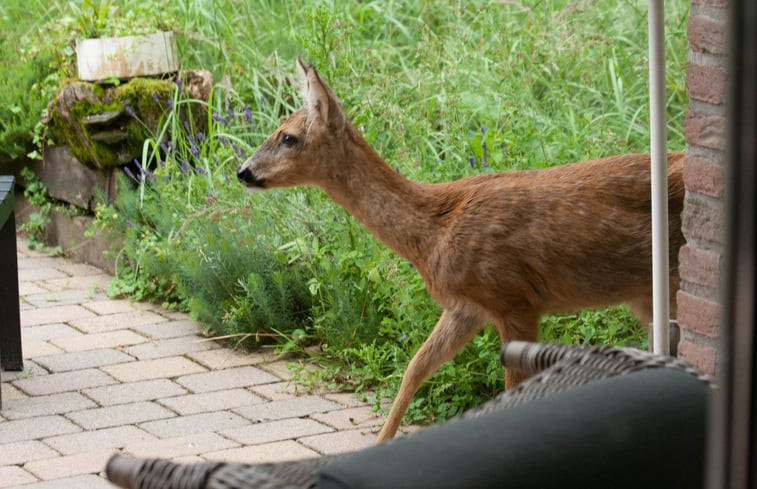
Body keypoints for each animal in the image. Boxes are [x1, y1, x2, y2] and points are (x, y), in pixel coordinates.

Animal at [236, 58, 684, 442]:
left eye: (288, 137)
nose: (243, 171)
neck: (434, 231)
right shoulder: (465, 307)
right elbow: (415, 368)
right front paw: (378, 442)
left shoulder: (514, 298)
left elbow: (510, 387)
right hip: (646, 295)